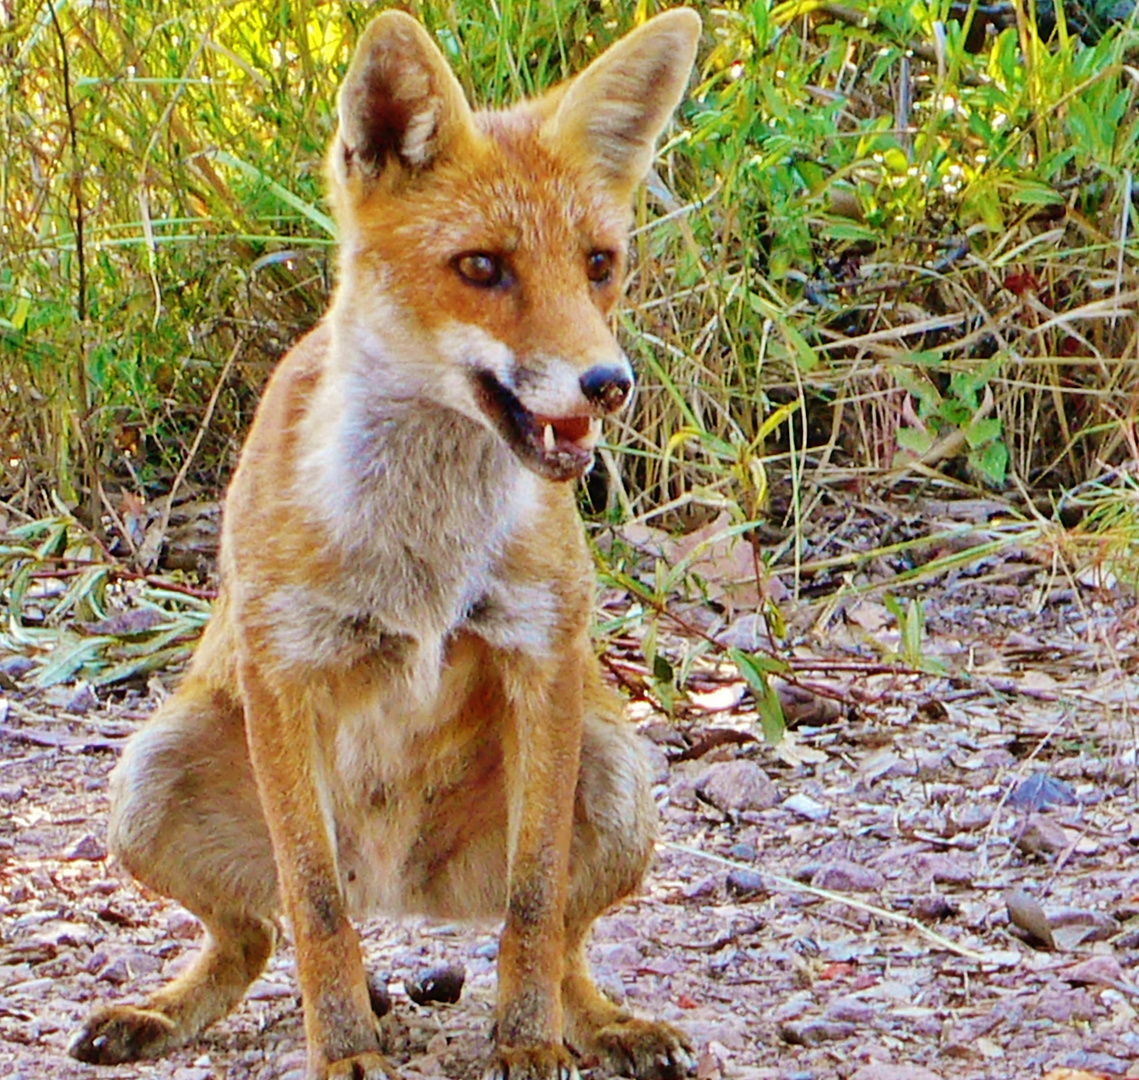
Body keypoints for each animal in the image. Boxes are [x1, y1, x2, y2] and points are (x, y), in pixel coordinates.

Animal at [71, 8, 701, 1080]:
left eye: (598, 265)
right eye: (481, 268)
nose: (607, 384)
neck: (423, 551)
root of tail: (399, 889)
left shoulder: (539, 657)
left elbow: (532, 907)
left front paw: (527, 1044)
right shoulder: (283, 671)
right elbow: (317, 910)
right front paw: (344, 1053)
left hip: (616, 777)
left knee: (559, 940)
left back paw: (595, 1023)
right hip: (144, 782)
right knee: (261, 933)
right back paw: (174, 1009)